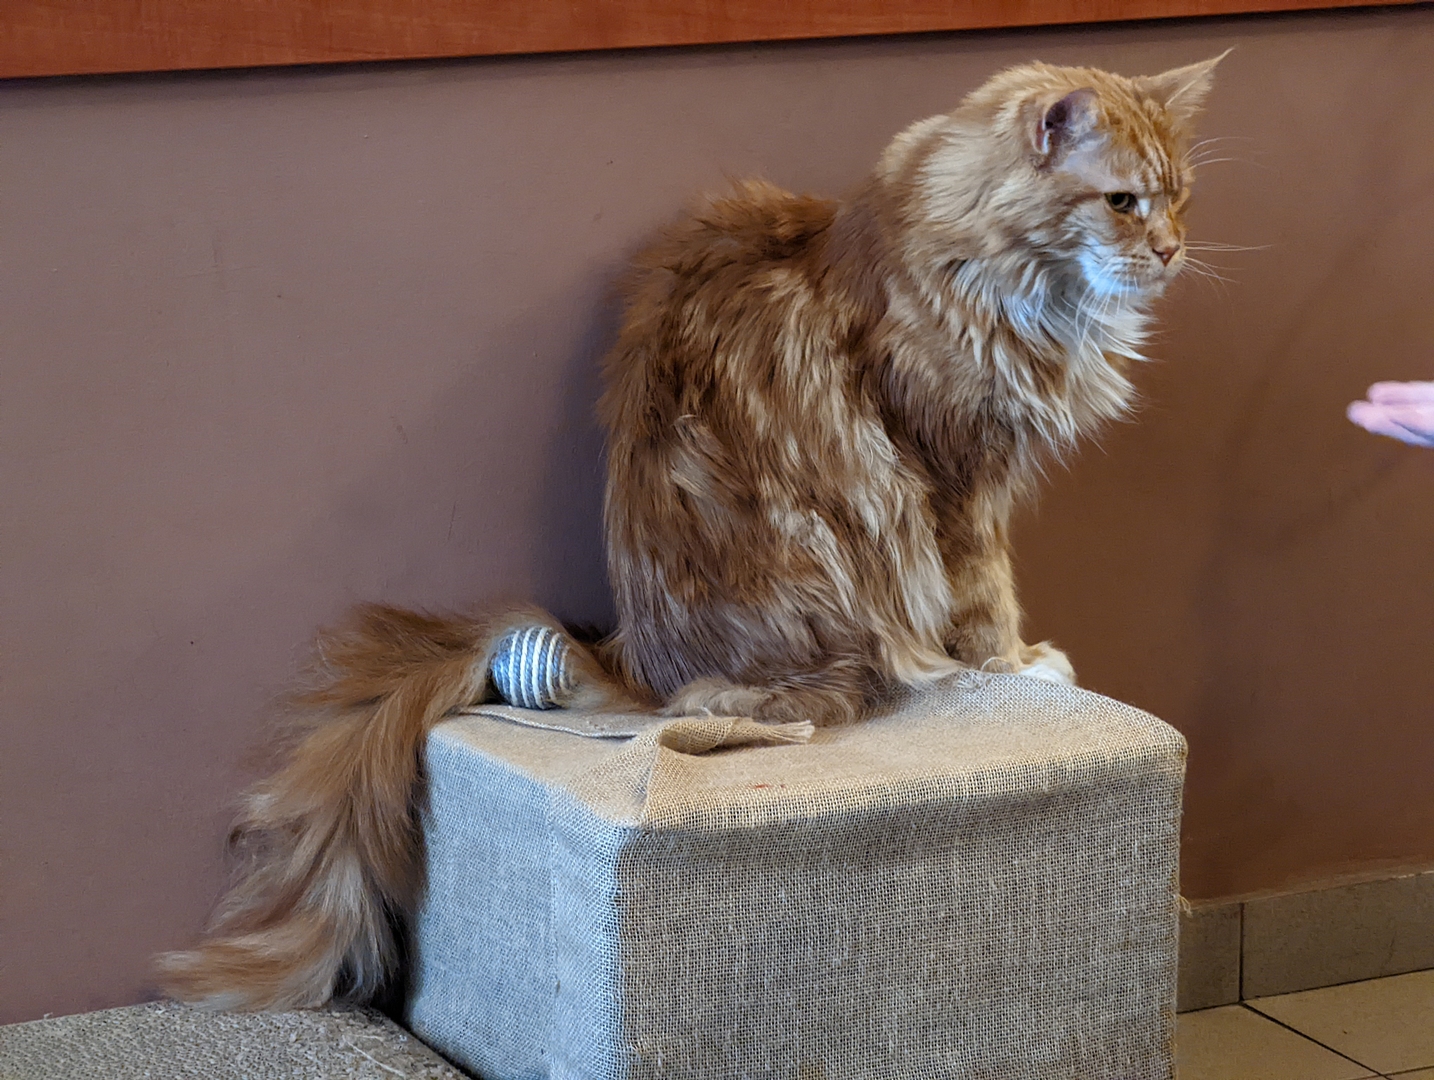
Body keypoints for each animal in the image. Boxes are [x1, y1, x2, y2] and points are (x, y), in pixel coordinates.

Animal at [159, 55, 1223, 1010]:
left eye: (1179, 199)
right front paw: (1019, 667)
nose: (1172, 252)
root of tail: (631, 655)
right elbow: (985, 596)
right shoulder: (952, 475)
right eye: (1122, 202)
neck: (991, 274)